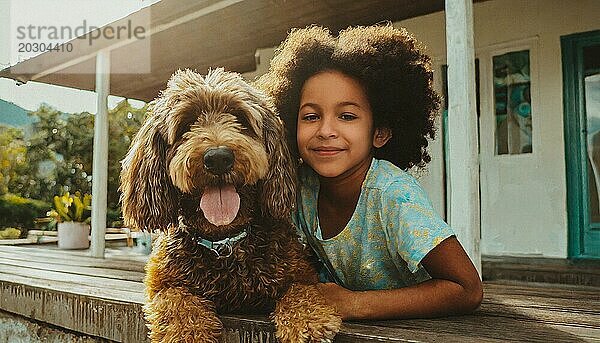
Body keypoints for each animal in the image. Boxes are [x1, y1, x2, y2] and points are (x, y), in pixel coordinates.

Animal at [120, 68, 342, 342]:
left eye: (240, 118)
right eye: (186, 124)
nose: (218, 158)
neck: (225, 241)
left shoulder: (299, 273)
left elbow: (301, 292)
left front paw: (309, 322)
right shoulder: (165, 283)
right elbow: (177, 303)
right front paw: (189, 333)